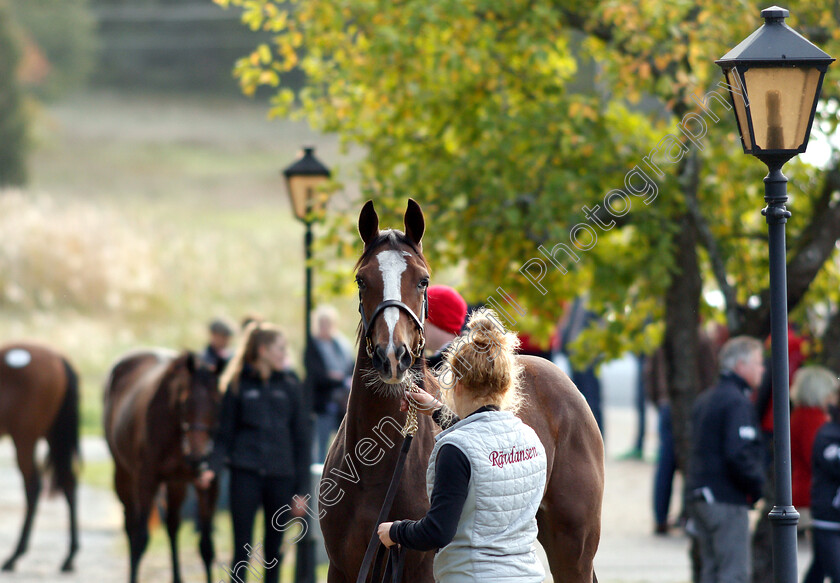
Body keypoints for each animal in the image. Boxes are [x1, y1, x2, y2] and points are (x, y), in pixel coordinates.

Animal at [0, 342, 79, 576]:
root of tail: (58, 357)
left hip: (25, 437)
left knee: (33, 486)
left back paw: (14, 556)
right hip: (53, 435)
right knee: (68, 482)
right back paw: (69, 557)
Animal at [104, 352, 220, 583]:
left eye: (216, 401)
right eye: (185, 402)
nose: (198, 458)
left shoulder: (206, 483)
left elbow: (206, 546)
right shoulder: (146, 480)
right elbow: (140, 539)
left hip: (176, 483)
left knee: (173, 525)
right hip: (123, 476)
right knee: (130, 526)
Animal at [316, 201, 604, 583]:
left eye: (423, 280)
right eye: (362, 280)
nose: (392, 356)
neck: (377, 470)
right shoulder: (343, 568)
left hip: (573, 549)